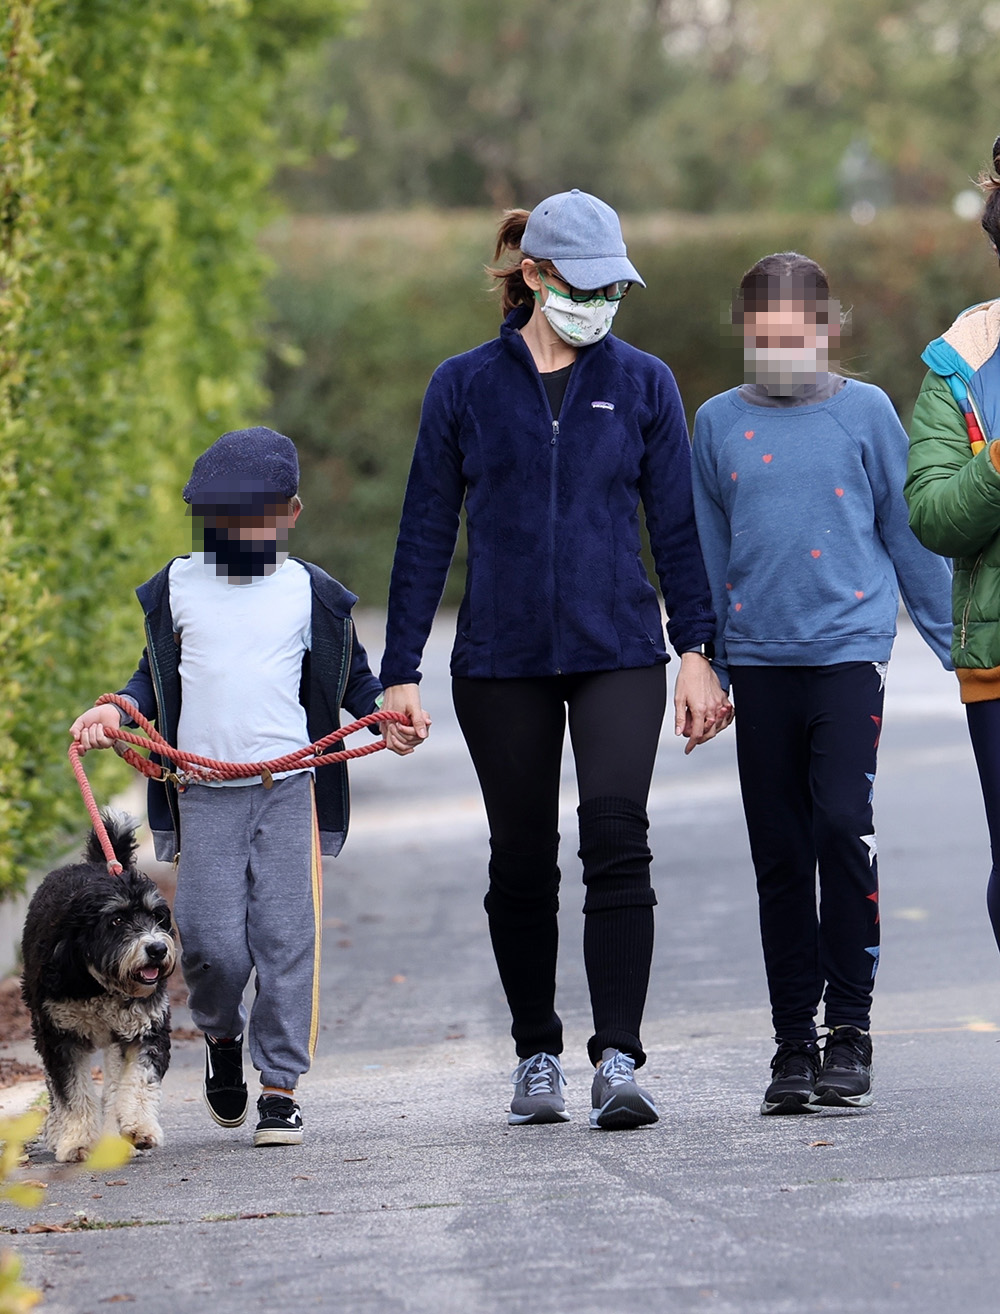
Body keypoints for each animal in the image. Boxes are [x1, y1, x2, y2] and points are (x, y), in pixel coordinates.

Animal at [20, 809, 176, 1161]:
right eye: (116, 920)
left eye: (156, 917)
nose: (157, 949)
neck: (99, 984)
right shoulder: (60, 1037)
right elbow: (73, 1093)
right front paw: (76, 1142)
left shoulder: (146, 1029)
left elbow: (139, 1083)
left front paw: (139, 1128)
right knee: (55, 1090)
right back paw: (59, 1132)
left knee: (116, 1086)